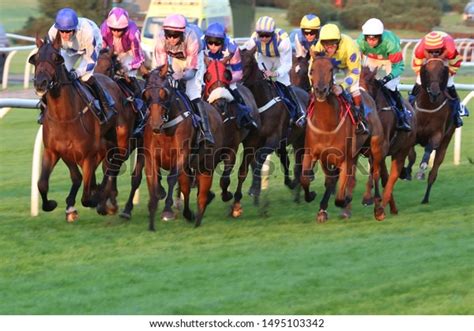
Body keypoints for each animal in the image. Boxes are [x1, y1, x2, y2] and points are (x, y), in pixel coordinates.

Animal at [28, 35, 126, 222]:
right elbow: (43, 183)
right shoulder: (55, 151)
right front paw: (53, 204)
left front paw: (98, 197)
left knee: (114, 164)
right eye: (35, 58)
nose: (40, 83)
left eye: (56, 58)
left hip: (120, 138)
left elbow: (87, 197)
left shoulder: (87, 155)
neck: (64, 117)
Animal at [141, 65, 224, 231]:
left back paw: (198, 216)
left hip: (206, 164)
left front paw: (167, 211)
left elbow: (171, 178)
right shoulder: (151, 158)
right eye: (146, 95)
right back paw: (188, 214)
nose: (155, 124)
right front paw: (152, 217)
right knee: (186, 188)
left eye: (164, 93)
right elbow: (153, 183)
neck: (166, 126)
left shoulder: (181, 155)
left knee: (202, 193)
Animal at [302, 53, 384, 222]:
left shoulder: (345, 158)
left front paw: (346, 201)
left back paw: (378, 208)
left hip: (375, 148)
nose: (320, 91)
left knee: (375, 173)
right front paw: (314, 199)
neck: (326, 125)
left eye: (331, 69)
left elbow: (340, 197)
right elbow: (306, 179)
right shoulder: (313, 154)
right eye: (312, 69)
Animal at [362, 67, 416, 220]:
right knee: (385, 177)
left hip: (402, 150)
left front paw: (369, 199)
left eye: (367, 83)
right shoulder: (369, 149)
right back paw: (391, 207)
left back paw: (381, 208)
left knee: (393, 176)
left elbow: (374, 172)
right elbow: (375, 172)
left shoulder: (381, 147)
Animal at [410, 58, 454, 204]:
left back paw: (425, 198)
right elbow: (411, 155)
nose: (435, 93)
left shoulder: (437, 135)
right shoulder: (412, 134)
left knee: (433, 173)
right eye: (427, 71)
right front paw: (406, 171)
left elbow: (429, 148)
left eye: (442, 72)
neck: (428, 107)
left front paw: (421, 169)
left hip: (446, 141)